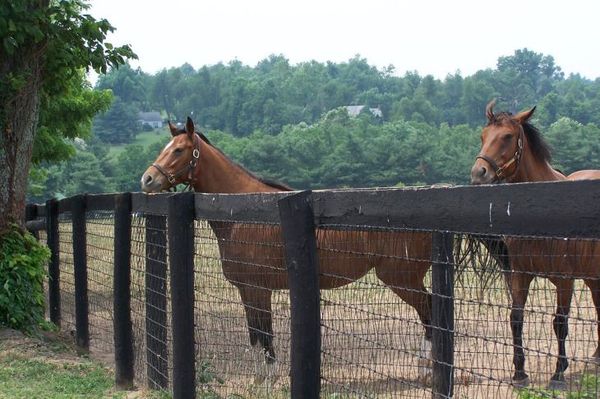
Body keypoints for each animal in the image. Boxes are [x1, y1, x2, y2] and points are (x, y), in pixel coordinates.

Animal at [140, 118, 434, 382]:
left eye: (179, 150)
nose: (147, 179)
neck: (247, 214)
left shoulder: (259, 289)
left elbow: (265, 331)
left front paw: (270, 375)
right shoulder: (246, 289)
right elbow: (254, 332)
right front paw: (258, 377)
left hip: (402, 278)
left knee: (429, 312)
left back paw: (426, 370)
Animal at [472, 101, 600, 390]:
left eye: (507, 136)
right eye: (483, 136)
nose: (479, 173)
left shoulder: (564, 280)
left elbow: (560, 323)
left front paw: (558, 374)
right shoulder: (520, 275)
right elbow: (516, 319)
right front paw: (519, 373)